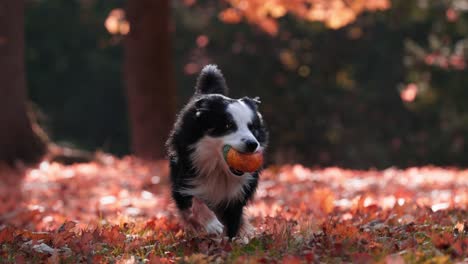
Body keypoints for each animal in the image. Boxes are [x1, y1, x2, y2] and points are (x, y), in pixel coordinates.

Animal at [166, 65, 268, 238]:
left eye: (252, 127)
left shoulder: (237, 196)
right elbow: (194, 201)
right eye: (228, 125)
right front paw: (212, 224)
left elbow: (233, 224)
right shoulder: (185, 180)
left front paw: (231, 241)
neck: (219, 169)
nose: (252, 144)